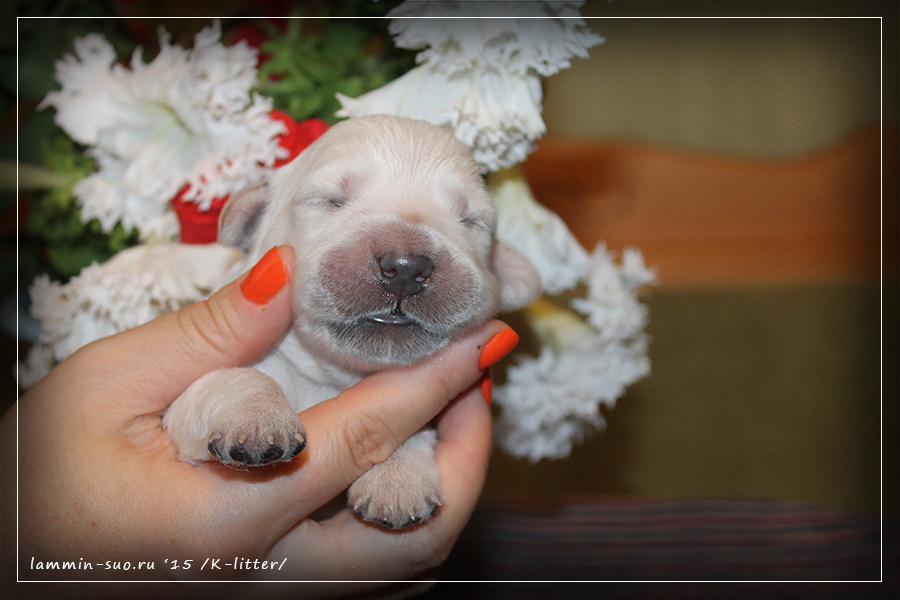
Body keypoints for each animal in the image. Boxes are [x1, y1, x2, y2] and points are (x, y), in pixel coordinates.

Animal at [162, 115, 541, 529]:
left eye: (471, 221)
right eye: (330, 200)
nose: (406, 268)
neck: (334, 380)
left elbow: (415, 429)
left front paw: (397, 478)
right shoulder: (177, 411)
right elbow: (231, 377)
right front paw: (256, 416)